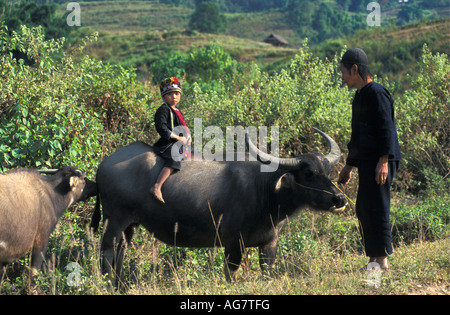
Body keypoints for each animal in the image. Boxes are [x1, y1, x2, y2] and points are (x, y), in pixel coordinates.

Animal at [90, 130, 344, 282]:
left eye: (327, 171)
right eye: (308, 173)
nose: (339, 199)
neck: (265, 190)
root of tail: (103, 165)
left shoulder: (269, 243)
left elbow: (268, 271)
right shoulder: (233, 243)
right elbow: (231, 274)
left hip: (130, 224)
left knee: (121, 251)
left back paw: (119, 283)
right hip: (114, 221)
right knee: (107, 251)